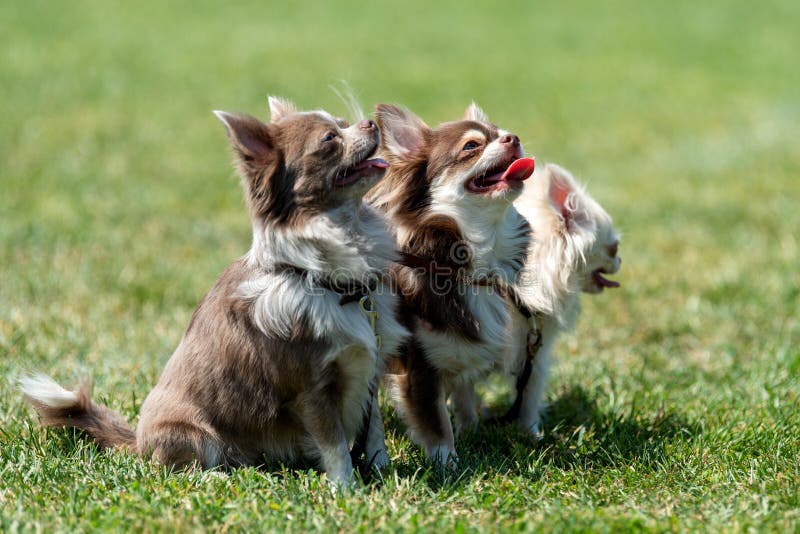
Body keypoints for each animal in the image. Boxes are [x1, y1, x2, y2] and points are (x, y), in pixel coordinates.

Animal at [21, 96, 410, 490]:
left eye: (344, 122)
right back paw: (218, 477)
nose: (371, 123)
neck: (324, 279)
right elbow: (335, 444)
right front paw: (346, 488)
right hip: (193, 433)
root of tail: (139, 442)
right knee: (181, 468)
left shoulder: (369, 371)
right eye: (330, 138)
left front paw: (381, 470)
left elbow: (373, 431)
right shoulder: (311, 387)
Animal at [366, 103, 536, 464]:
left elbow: (463, 395)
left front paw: (470, 429)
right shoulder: (419, 368)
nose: (513, 138)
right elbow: (436, 422)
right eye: (471, 146)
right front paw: (448, 463)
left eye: (501, 132)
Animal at [450, 163, 620, 440]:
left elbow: (528, 396)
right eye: (614, 248)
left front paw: (530, 434)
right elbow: (463, 398)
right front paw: (468, 432)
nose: (620, 261)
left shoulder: (534, 353)